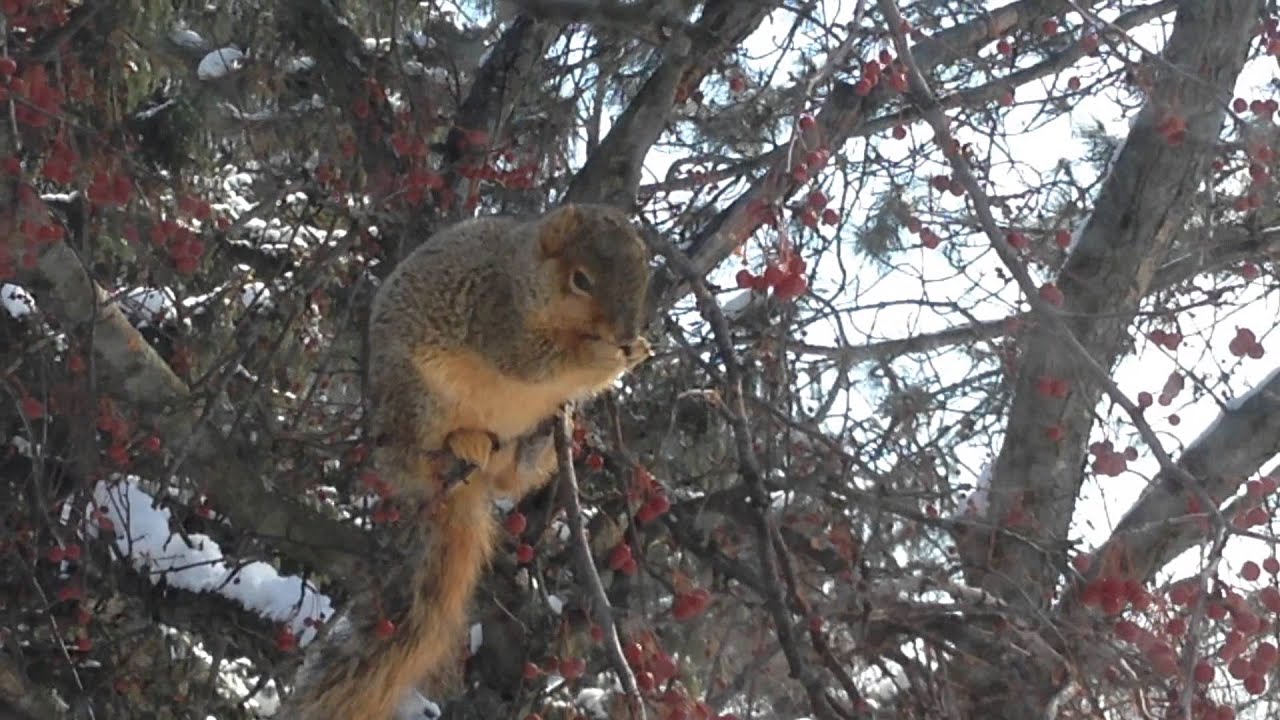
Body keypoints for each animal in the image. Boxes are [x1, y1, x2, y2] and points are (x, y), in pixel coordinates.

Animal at [280, 203, 652, 720]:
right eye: (581, 279)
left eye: (644, 275)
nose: (626, 333)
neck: (524, 275)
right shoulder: (495, 314)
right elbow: (535, 360)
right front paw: (602, 354)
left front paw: (637, 352)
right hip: (419, 403)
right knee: (424, 454)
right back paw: (463, 445)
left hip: (517, 440)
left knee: (512, 481)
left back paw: (536, 449)